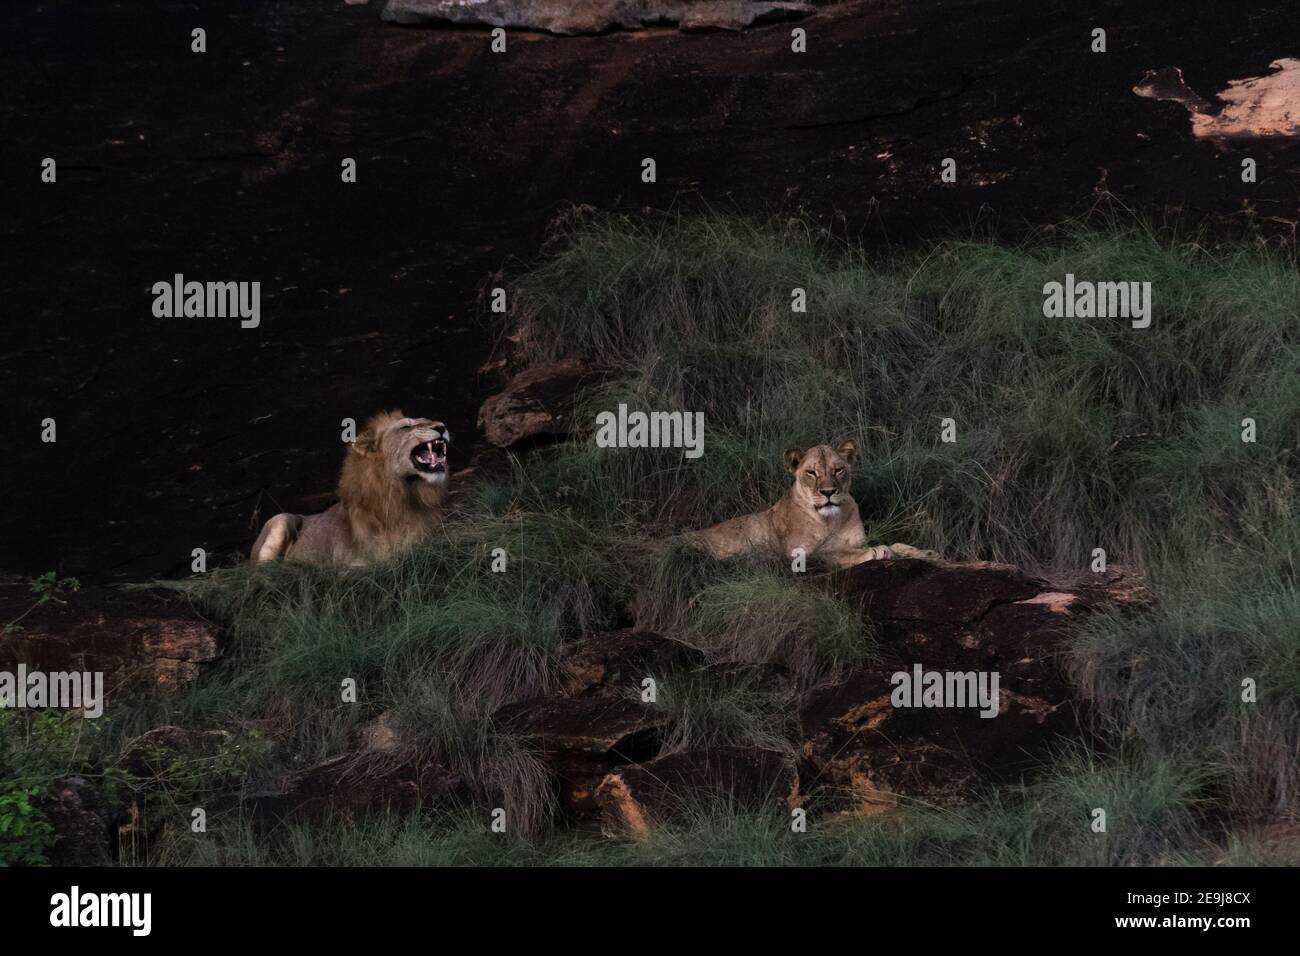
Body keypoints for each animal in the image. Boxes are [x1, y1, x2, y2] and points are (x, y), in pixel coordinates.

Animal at [250, 411, 449, 567]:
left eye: (428, 419)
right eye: (406, 427)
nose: (442, 426)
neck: (406, 494)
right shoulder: (348, 566)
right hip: (280, 520)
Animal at [691, 439, 935, 567]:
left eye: (838, 470)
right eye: (811, 473)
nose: (828, 492)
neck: (831, 520)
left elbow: (897, 545)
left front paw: (925, 553)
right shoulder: (801, 555)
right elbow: (837, 553)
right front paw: (877, 551)